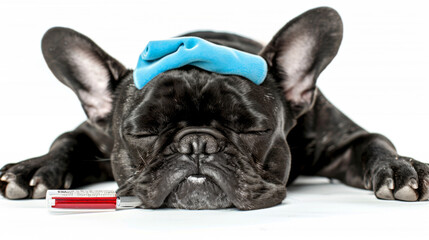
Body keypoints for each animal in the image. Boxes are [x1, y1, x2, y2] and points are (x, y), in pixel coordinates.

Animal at [0, 7, 428, 210]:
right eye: (143, 132)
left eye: (254, 130)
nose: (197, 144)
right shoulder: (93, 134)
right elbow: (65, 140)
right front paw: (33, 168)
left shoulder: (339, 140)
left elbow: (373, 141)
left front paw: (401, 168)